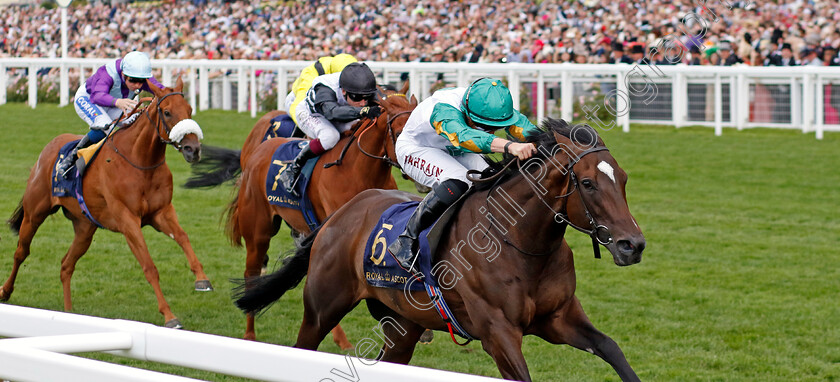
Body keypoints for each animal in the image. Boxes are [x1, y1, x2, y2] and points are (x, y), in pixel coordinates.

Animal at [1, 78, 212, 328]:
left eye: (189, 110)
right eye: (167, 112)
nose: (193, 149)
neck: (140, 161)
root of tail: (49, 147)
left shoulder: (161, 212)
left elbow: (182, 237)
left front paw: (202, 279)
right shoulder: (127, 220)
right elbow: (149, 267)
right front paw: (170, 316)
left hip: (85, 228)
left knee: (66, 265)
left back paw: (69, 312)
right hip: (35, 213)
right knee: (21, 252)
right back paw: (5, 291)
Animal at [225, 84, 418, 344]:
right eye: (399, 132)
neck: (359, 169)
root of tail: (258, 151)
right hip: (258, 232)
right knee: (251, 274)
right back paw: (250, 333)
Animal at [236, 120, 648, 382]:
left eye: (624, 179)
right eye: (588, 183)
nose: (633, 245)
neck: (519, 243)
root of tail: (340, 215)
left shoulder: (559, 318)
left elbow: (611, 348)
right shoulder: (498, 332)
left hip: (403, 324)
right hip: (323, 306)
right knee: (303, 345)